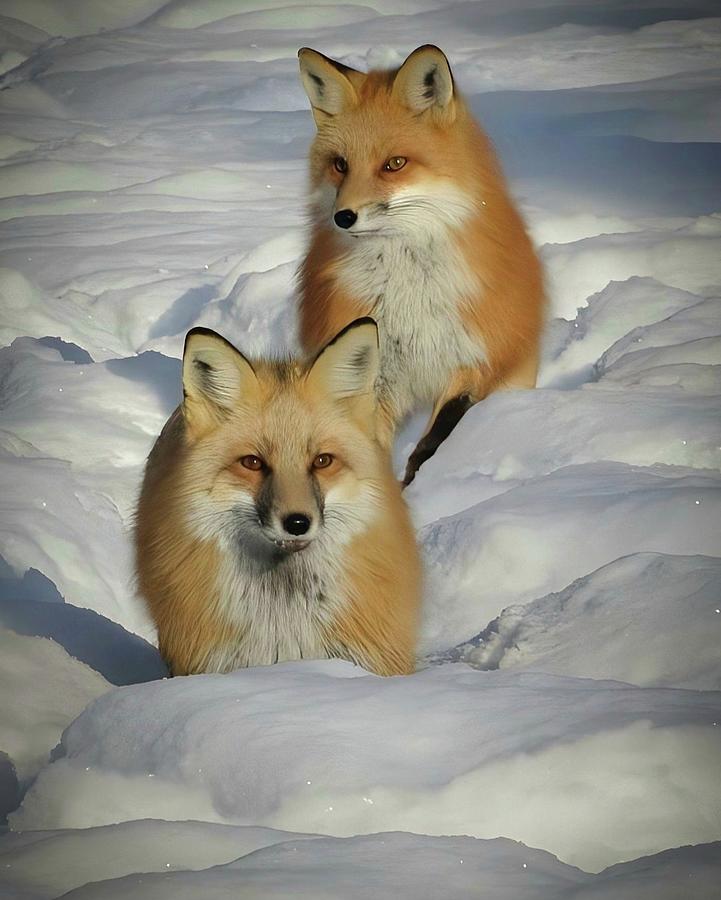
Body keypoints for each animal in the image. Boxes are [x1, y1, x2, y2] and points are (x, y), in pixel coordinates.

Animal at [296, 44, 544, 486]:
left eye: (394, 164)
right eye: (340, 164)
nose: (343, 217)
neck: (407, 291)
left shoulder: (469, 361)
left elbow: (434, 441)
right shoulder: (374, 379)